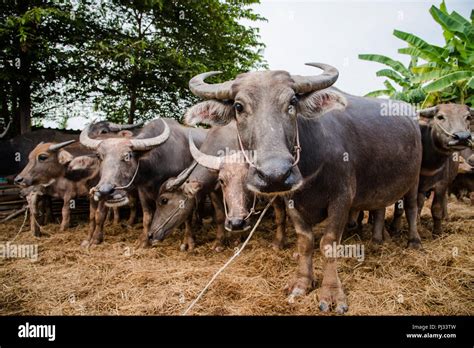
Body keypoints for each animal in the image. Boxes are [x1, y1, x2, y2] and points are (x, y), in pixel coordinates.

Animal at [79, 118, 207, 246]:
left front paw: (189, 241)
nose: (105, 191)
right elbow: (147, 216)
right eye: (99, 156)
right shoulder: (142, 191)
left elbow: (187, 215)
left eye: (127, 156)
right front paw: (144, 240)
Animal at [185, 63, 422, 316]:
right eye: (239, 106)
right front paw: (302, 283)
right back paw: (380, 237)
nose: (275, 175)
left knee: (411, 208)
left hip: (415, 179)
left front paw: (331, 293)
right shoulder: (292, 202)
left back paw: (413, 241)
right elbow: (305, 241)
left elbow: (328, 243)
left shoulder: (342, 198)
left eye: (292, 102)